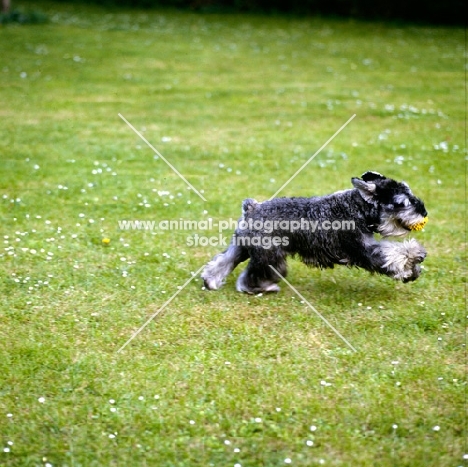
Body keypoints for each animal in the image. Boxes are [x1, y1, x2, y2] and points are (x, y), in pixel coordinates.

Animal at [201, 172, 428, 296]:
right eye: (402, 203)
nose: (424, 212)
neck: (356, 207)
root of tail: (251, 208)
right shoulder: (363, 250)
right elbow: (392, 255)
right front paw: (414, 258)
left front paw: (414, 267)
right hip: (271, 256)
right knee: (250, 277)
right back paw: (261, 288)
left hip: (242, 247)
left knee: (223, 261)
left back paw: (210, 281)